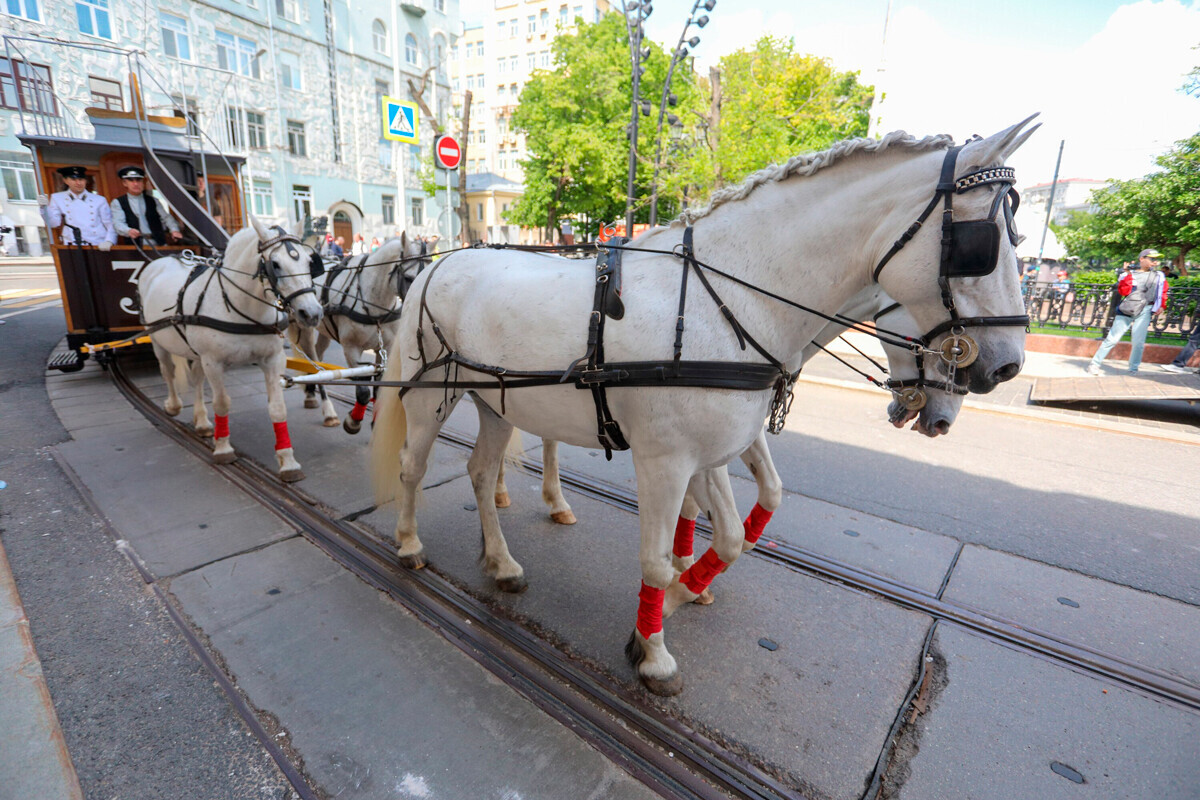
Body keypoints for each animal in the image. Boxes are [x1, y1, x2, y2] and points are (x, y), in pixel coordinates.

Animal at [137, 217, 324, 482]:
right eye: (275, 264)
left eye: (310, 262)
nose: (312, 313)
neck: (241, 306)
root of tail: (160, 261)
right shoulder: (213, 362)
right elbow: (222, 403)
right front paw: (223, 448)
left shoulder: (272, 360)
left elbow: (278, 409)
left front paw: (288, 461)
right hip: (157, 339)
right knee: (168, 371)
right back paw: (173, 405)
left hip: (195, 352)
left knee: (196, 379)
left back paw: (202, 421)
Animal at [289, 231, 432, 431]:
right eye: (409, 278)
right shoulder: (352, 348)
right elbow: (363, 390)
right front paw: (353, 421)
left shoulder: (385, 348)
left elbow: (379, 388)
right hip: (303, 325)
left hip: (324, 332)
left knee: (316, 357)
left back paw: (311, 393)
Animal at [372, 120, 1032, 695]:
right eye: (982, 245)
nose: (1006, 368)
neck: (732, 301)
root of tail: (440, 261)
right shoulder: (664, 462)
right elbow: (655, 559)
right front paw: (655, 650)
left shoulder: (715, 449)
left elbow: (738, 529)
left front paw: (687, 588)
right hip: (431, 400)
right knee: (411, 468)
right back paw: (408, 544)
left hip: (498, 403)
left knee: (483, 474)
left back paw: (502, 562)